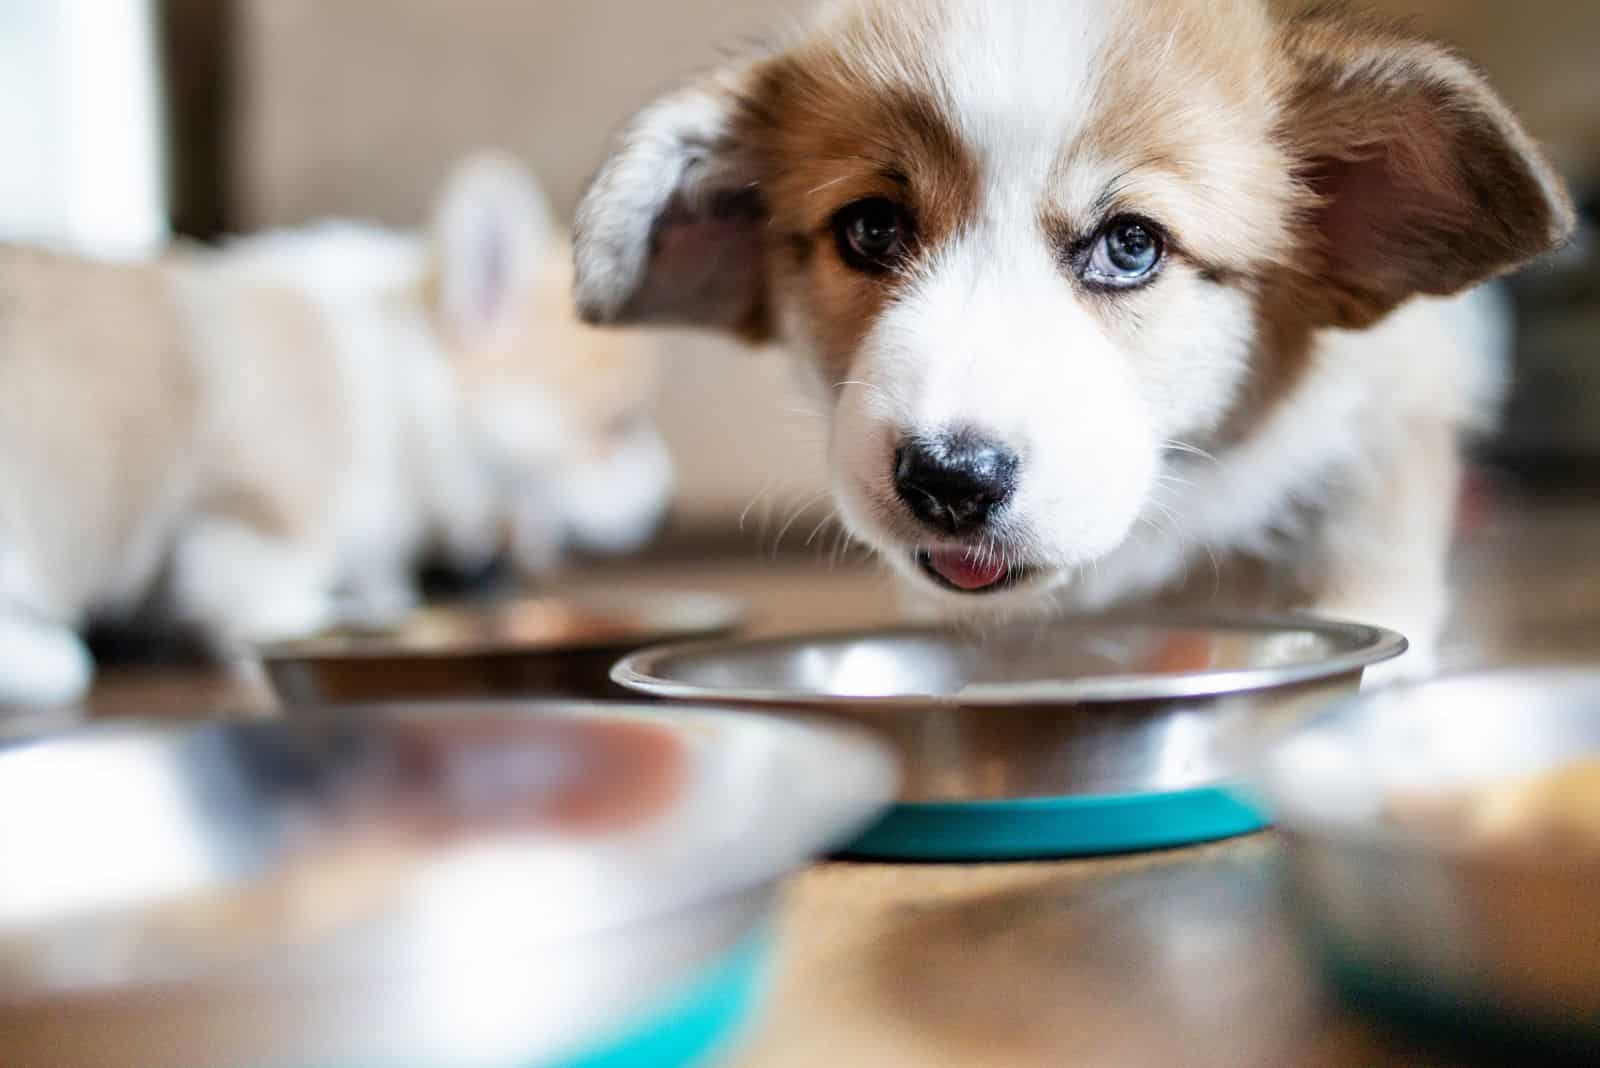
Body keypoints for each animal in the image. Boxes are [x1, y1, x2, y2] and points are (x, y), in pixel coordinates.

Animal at [0, 154, 668, 703]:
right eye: (618, 425)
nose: (664, 506)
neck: (399, 387)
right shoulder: (259, 517)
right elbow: (266, 595)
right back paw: (50, 658)